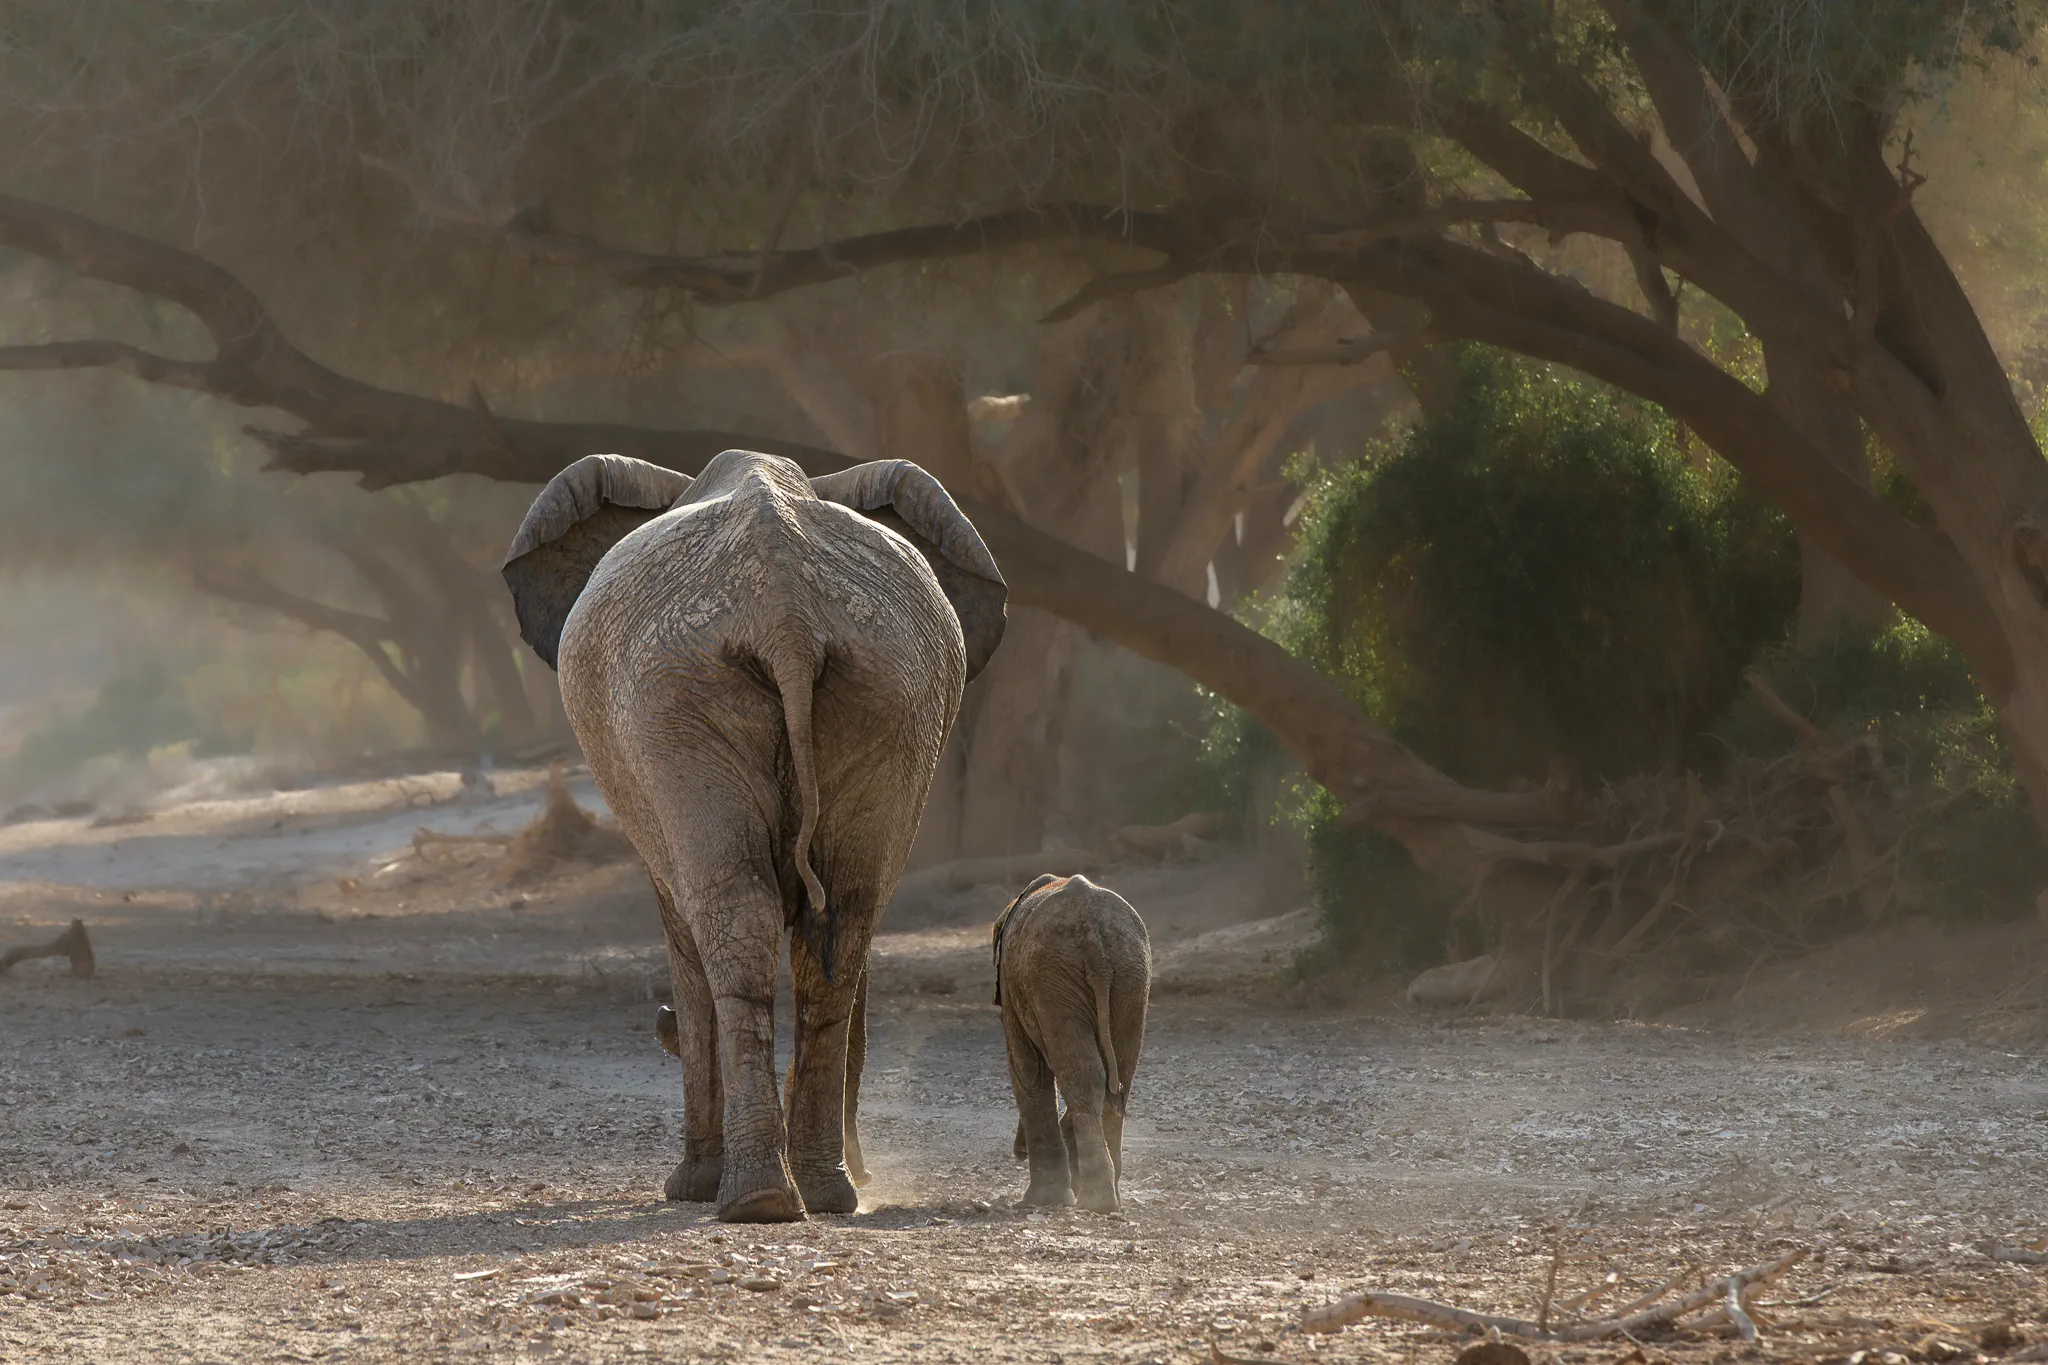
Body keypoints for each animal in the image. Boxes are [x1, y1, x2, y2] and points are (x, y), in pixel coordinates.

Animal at [502, 448, 1006, 1222]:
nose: (658, 1022)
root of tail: (787, 612)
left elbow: (683, 932)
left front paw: (687, 1188)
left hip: (675, 701)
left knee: (734, 918)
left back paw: (752, 1199)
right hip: (888, 695)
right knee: (842, 922)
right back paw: (820, 1193)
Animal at [991, 873, 1151, 1214]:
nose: (1018, 1152)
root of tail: (1094, 941)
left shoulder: (1011, 986)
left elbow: (1028, 1069)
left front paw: (1042, 1201)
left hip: (1055, 979)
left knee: (1082, 1079)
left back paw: (1095, 1202)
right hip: (1129, 975)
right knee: (1118, 1081)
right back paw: (1108, 1199)